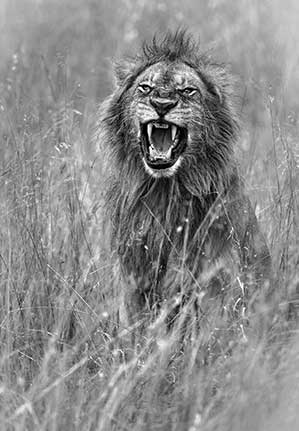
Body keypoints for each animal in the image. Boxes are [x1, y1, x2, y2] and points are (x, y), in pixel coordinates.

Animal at [99, 30, 274, 328]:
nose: (162, 104)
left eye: (187, 91)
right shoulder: (132, 280)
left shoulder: (215, 279)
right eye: (145, 88)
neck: (164, 191)